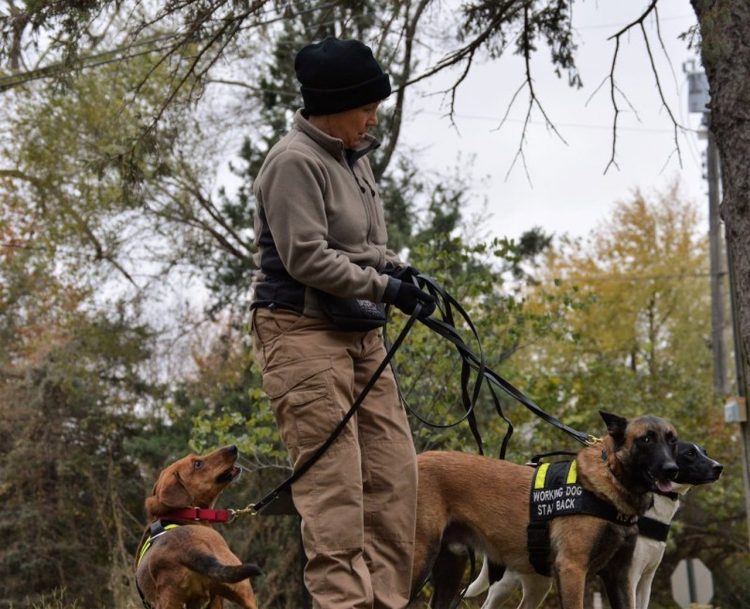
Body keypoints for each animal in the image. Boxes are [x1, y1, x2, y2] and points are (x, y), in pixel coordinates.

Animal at [412, 408, 680, 608]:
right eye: (646, 439)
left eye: (672, 441)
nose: (672, 469)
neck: (611, 479)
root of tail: (416, 458)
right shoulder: (572, 569)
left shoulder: (619, 576)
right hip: (420, 558)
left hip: (452, 569)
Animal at [468, 442, 724, 608]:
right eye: (689, 453)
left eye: (704, 452)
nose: (718, 467)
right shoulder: (629, 575)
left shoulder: (645, 579)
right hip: (504, 582)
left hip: (538, 583)